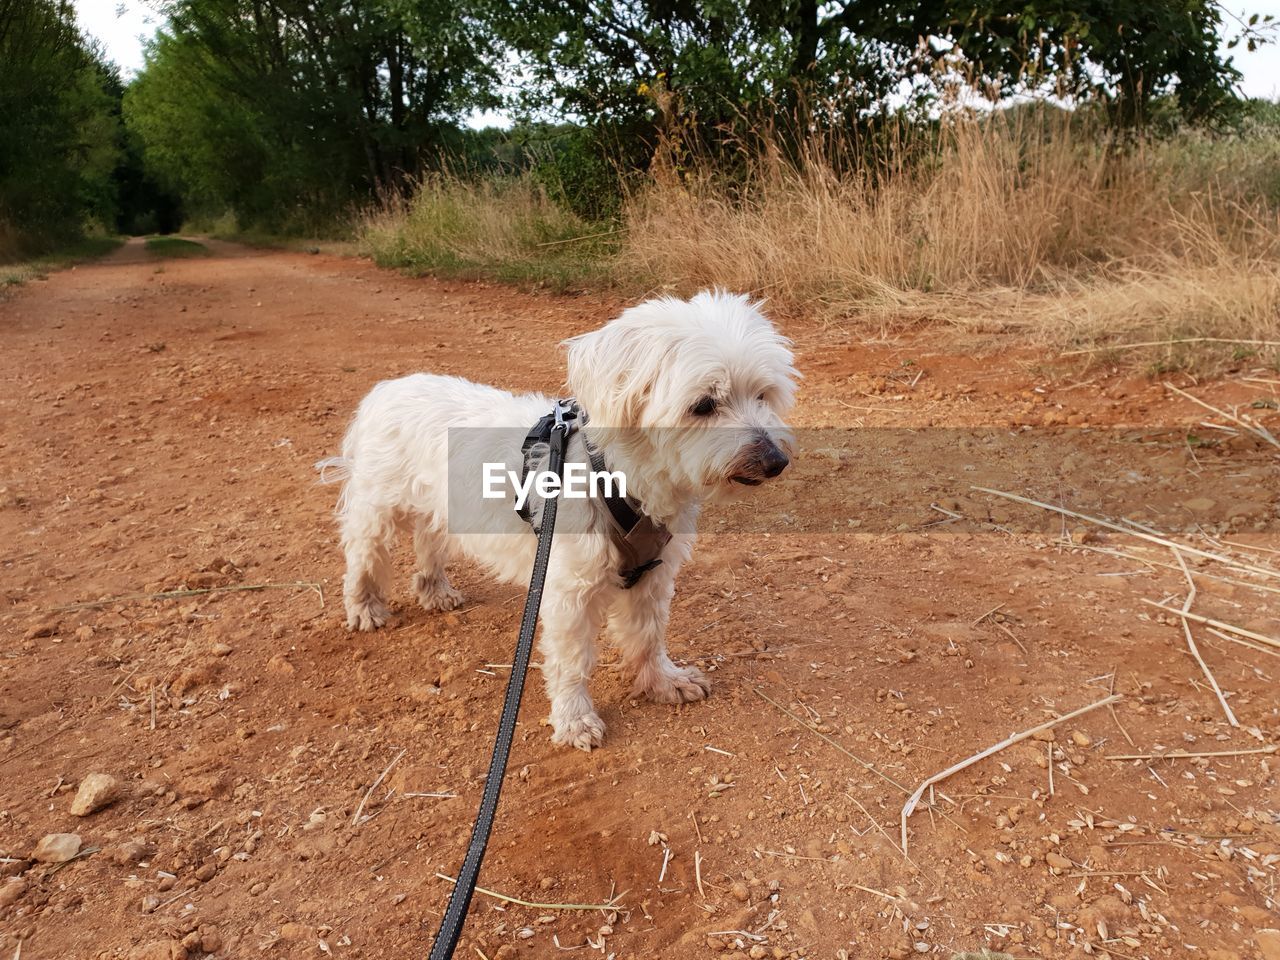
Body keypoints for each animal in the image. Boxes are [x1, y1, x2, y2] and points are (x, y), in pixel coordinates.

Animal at [320, 293, 793, 752]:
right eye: (703, 405)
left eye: (763, 394)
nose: (776, 460)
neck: (616, 474)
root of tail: (387, 389)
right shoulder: (570, 590)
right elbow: (571, 662)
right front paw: (575, 719)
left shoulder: (653, 576)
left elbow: (648, 637)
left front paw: (663, 681)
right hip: (378, 510)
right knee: (363, 556)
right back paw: (364, 607)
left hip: (439, 508)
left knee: (428, 541)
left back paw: (434, 591)